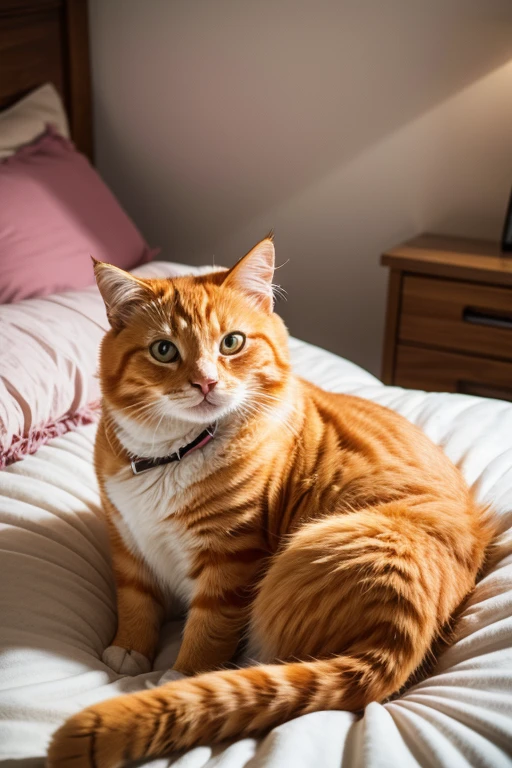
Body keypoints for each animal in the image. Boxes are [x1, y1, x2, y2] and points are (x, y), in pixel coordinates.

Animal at [50, 237, 494, 764]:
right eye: (164, 350)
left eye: (232, 343)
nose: (205, 383)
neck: (171, 453)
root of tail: (398, 639)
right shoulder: (127, 541)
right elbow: (136, 600)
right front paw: (130, 648)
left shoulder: (231, 559)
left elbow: (208, 629)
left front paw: (180, 675)